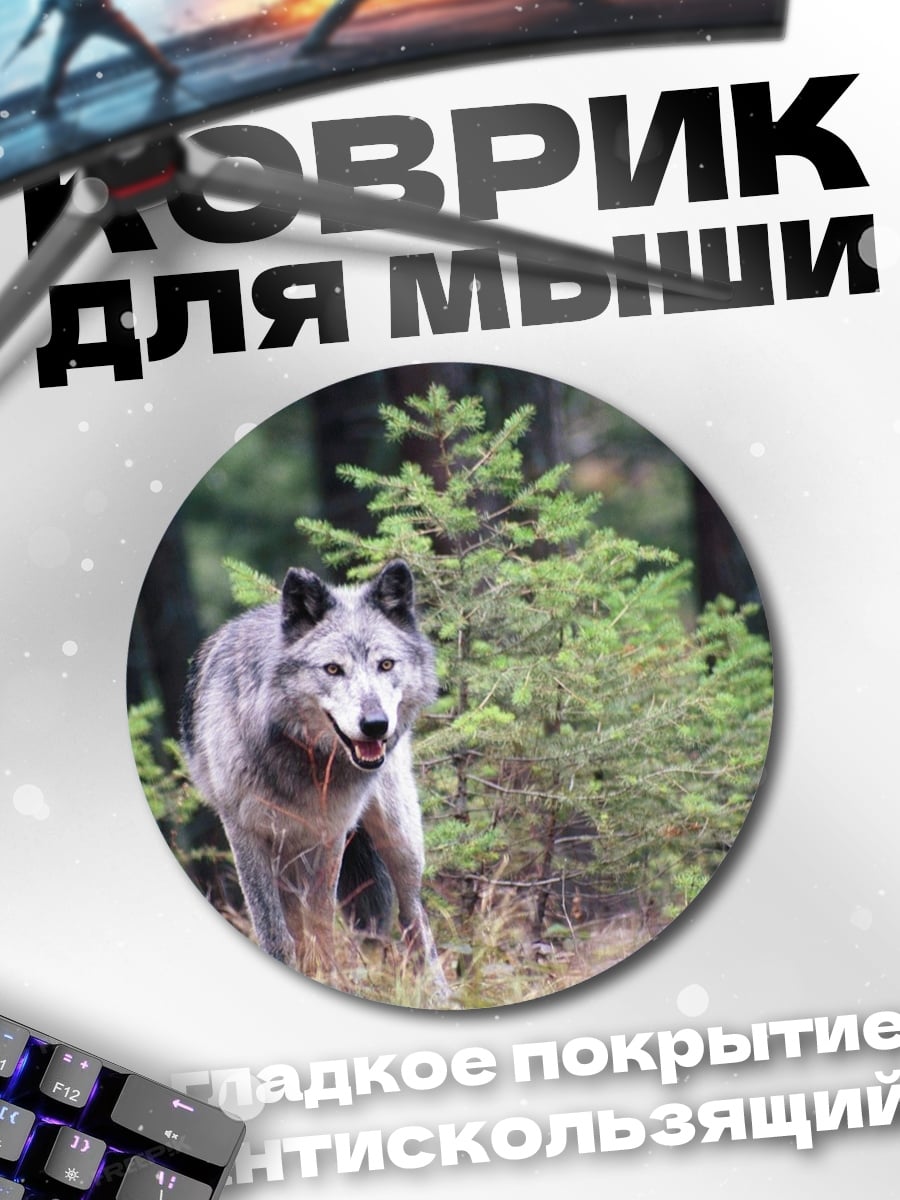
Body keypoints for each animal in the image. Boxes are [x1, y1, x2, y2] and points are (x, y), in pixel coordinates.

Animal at [180, 559, 450, 1001]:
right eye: (333, 669)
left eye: (386, 665)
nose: (376, 725)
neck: (303, 759)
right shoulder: (246, 834)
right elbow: (276, 932)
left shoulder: (331, 835)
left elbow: (322, 924)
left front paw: (329, 977)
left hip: (400, 841)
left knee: (415, 919)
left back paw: (440, 996)